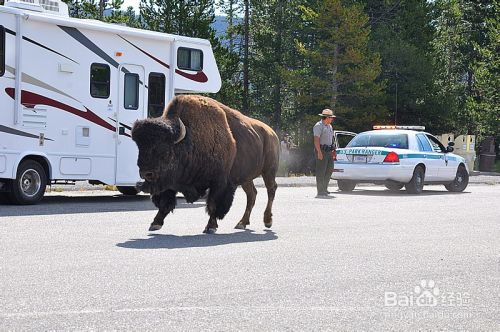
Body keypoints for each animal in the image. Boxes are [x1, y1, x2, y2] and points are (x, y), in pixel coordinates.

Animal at [132, 94, 282, 233]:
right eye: (140, 147)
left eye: (165, 150)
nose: (146, 173)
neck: (188, 140)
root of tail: (272, 133)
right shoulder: (170, 182)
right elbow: (165, 203)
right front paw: (155, 224)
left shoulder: (220, 183)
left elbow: (213, 204)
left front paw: (210, 227)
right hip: (246, 178)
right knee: (252, 194)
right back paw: (242, 223)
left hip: (269, 171)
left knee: (271, 189)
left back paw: (267, 221)